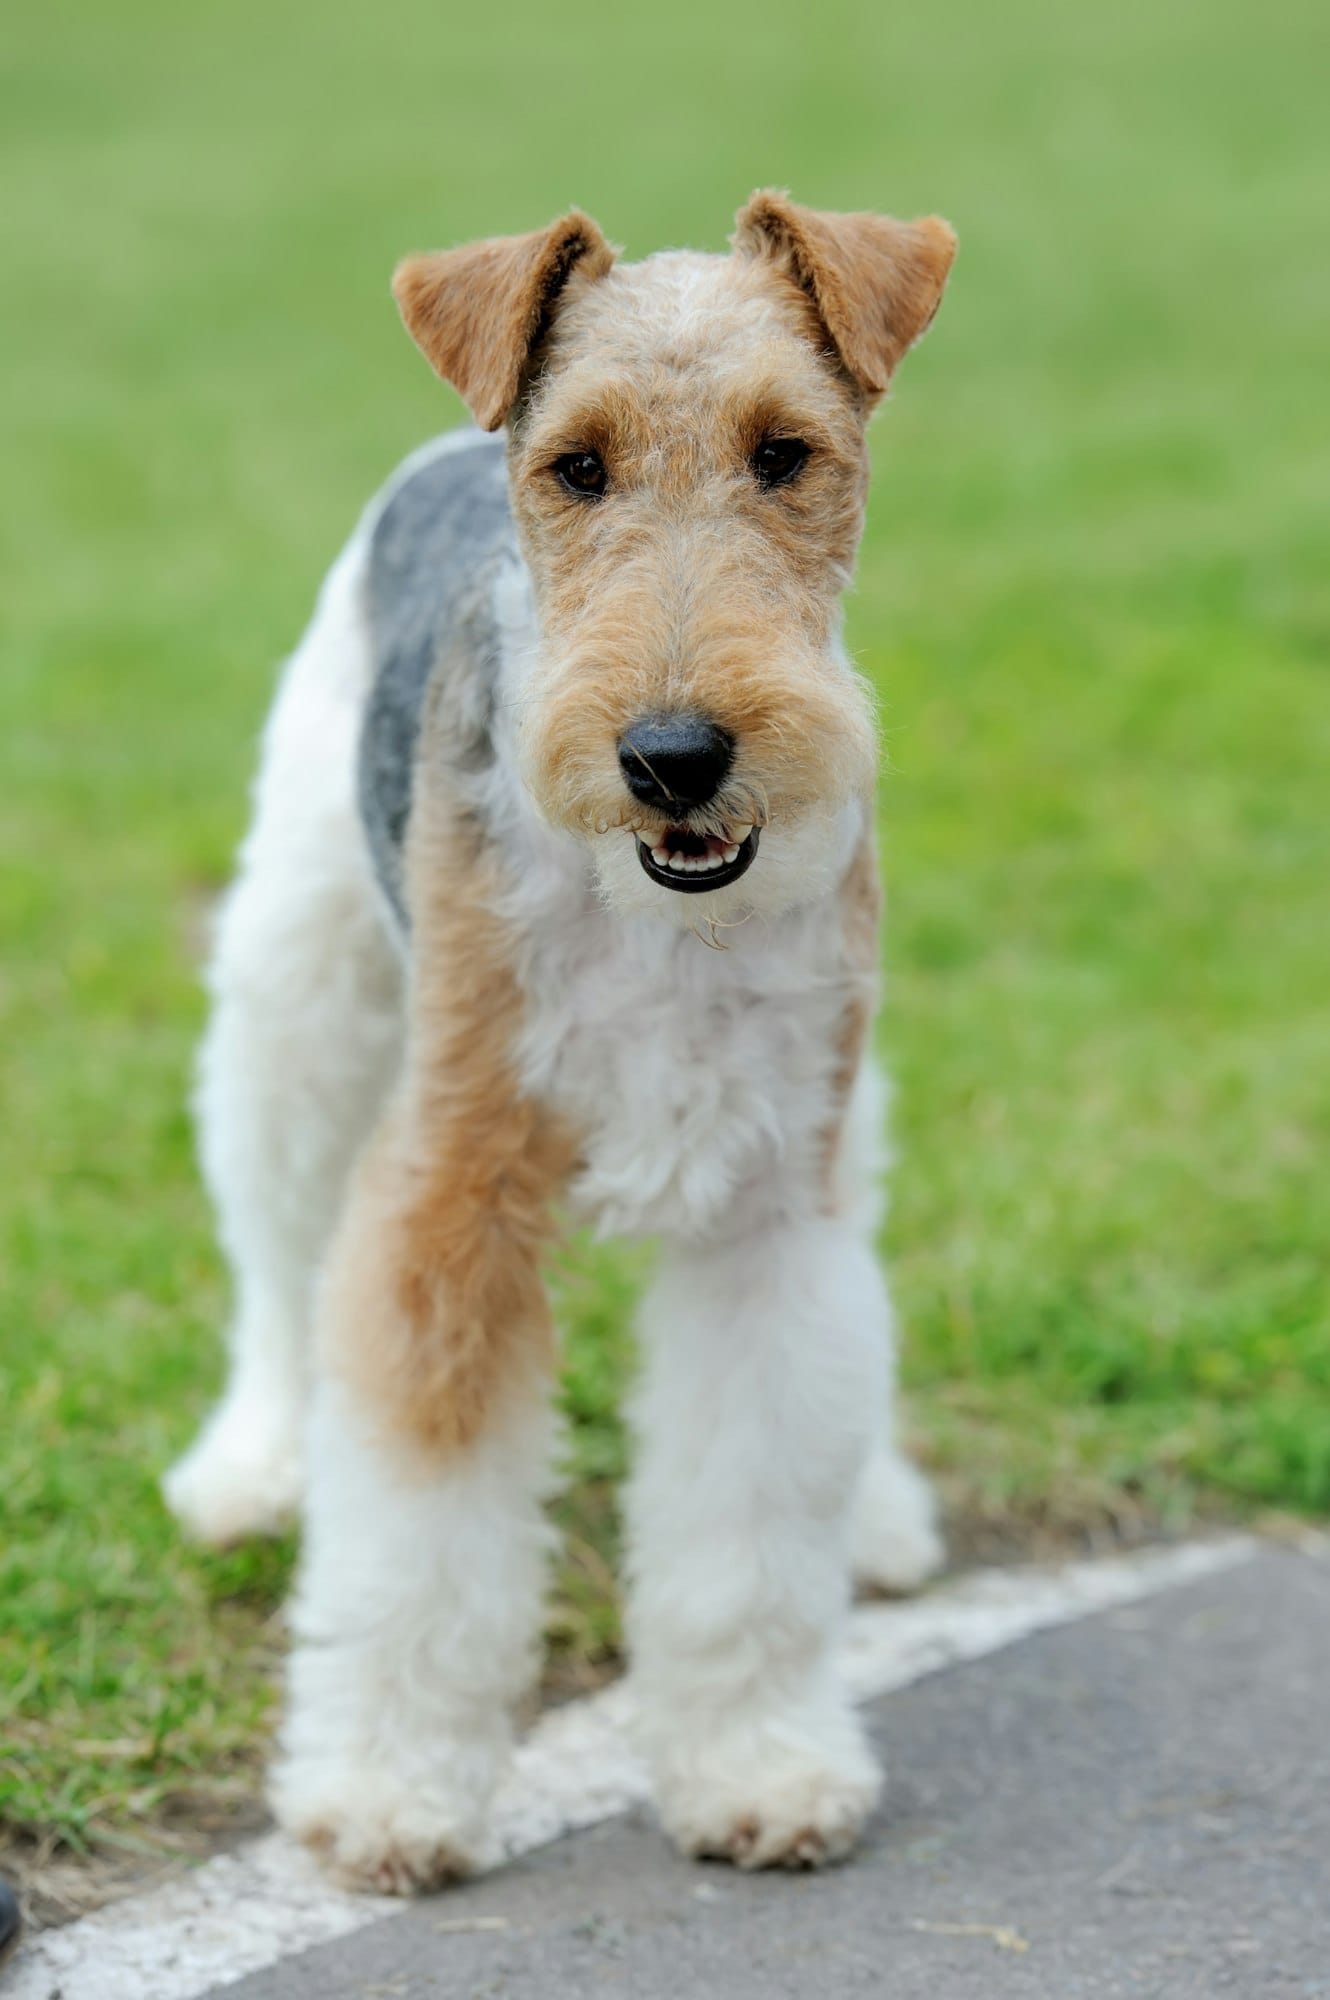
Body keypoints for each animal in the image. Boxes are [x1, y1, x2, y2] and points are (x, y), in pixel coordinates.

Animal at [163, 191, 956, 1888]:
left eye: (786, 453)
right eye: (578, 467)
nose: (673, 756)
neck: (653, 907)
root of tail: (440, 449)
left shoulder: (768, 1196)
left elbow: (747, 1517)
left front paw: (758, 1769)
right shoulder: (447, 1195)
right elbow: (413, 1537)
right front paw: (387, 1796)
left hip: (843, 1105)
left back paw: (876, 1509)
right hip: (299, 998)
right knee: (275, 1268)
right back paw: (253, 1470)